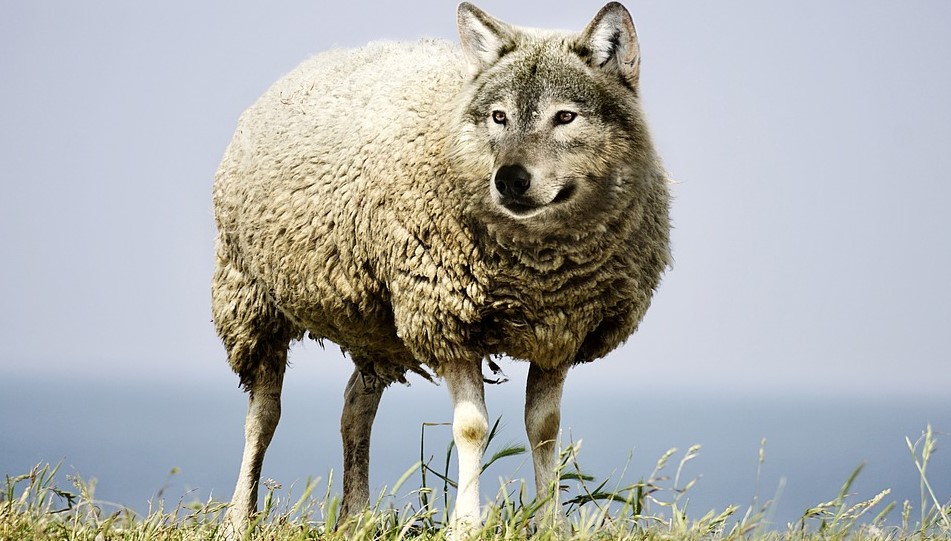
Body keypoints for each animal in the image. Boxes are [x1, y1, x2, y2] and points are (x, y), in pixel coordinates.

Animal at [212, 2, 671, 537]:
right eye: (498, 116)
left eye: (565, 117)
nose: (510, 180)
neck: (538, 269)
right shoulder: (446, 319)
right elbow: (471, 428)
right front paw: (467, 525)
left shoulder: (559, 331)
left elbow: (544, 429)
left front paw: (550, 523)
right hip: (249, 297)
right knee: (263, 415)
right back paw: (238, 519)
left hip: (376, 327)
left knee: (355, 409)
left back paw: (355, 517)